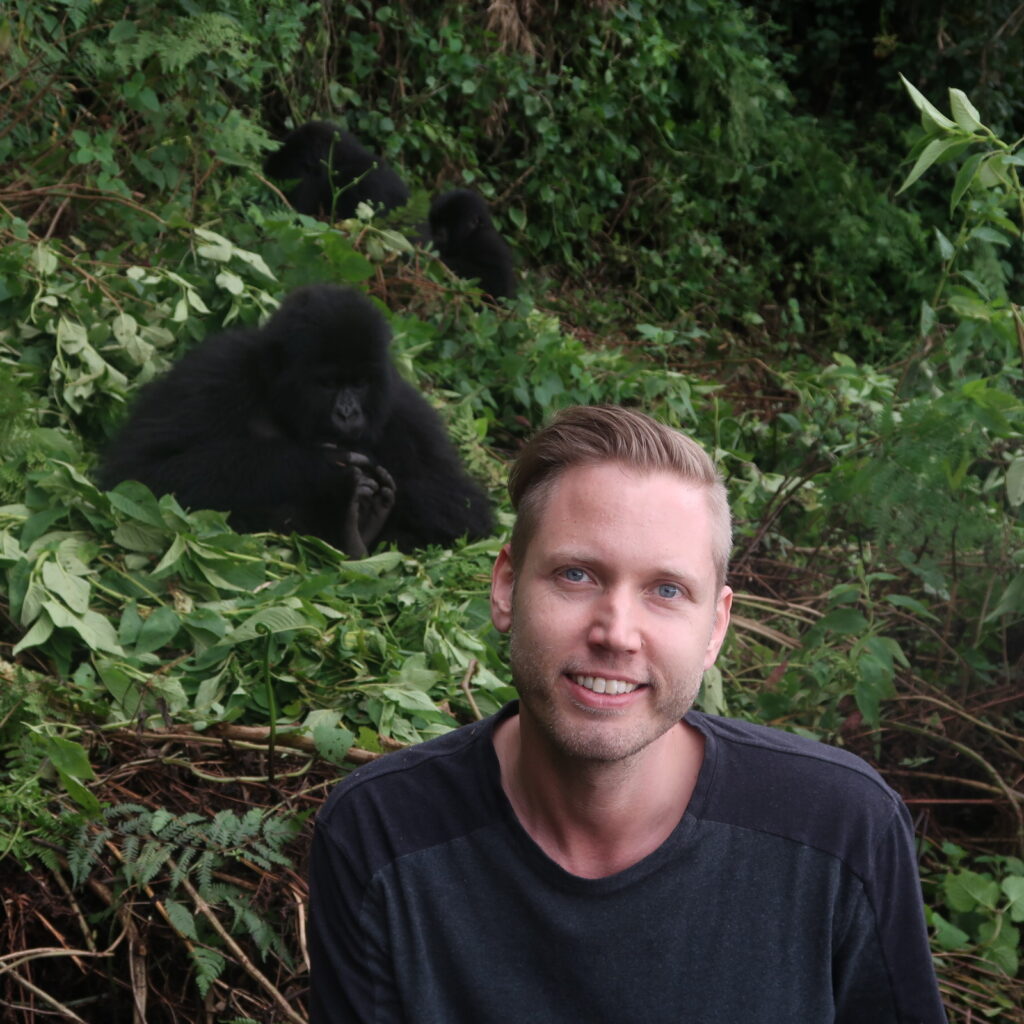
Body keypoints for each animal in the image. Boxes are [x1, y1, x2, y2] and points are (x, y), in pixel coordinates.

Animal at [97, 284, 493, 557]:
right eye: (328, 383)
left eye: (360, 383)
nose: (348, 413)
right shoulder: (215, 371)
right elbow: (141, 471)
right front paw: (321, 467)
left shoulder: (405, 408)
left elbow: (463, 508)